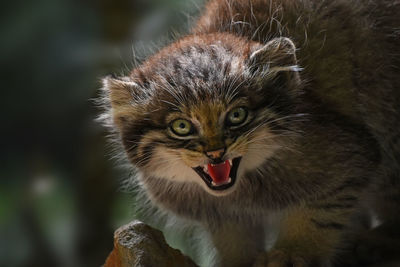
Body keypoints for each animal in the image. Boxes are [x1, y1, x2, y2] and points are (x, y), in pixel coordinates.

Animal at [98, 0, 398, 267]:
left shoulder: (349, 157)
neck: (243, 192)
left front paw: (292, 253)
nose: (215, 152)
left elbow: (317, 217)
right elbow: (234, 240)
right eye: (181, 127)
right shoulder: (224, 216)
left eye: (237, 115)